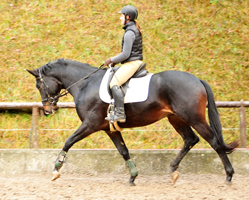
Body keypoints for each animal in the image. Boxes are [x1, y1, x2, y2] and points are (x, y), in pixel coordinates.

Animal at [26, 58, 238, 185]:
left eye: (39, 85)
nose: (48, 109)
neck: (85, 84)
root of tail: (197, 79)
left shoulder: (90, 124)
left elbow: (68, 141)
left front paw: (56, 169)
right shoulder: (109, 128)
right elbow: (123, 151)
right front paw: (133, 176)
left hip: (193, 117)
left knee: (214, 141)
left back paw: (229, 175)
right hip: (176, 118)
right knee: (190, 139)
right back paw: (173, 170)